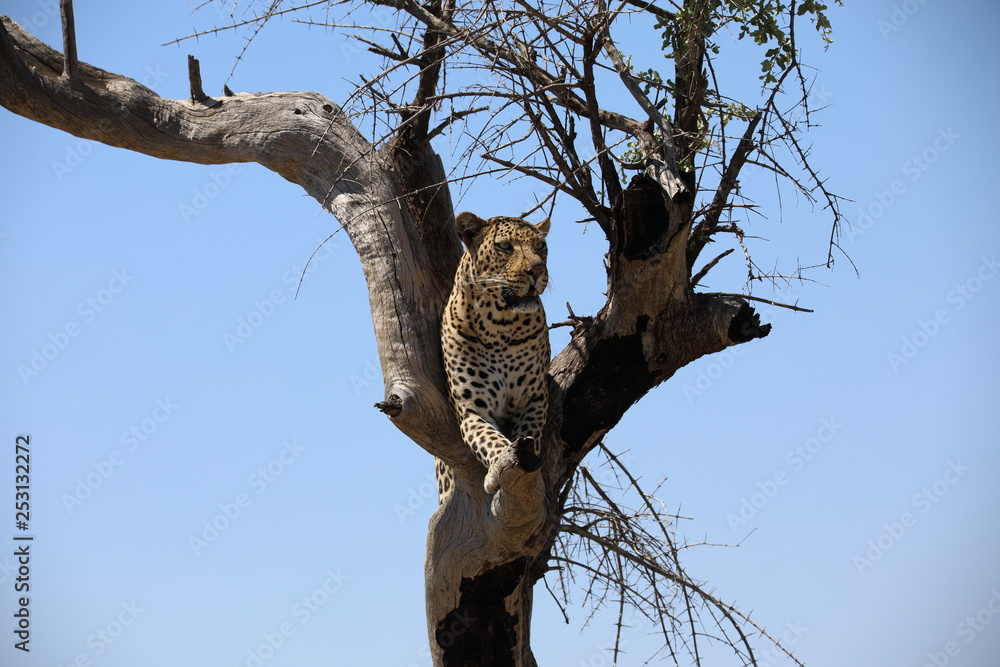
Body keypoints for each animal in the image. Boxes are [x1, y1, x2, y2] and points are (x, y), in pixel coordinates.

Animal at [438, 211, 551, 499]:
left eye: (540, 246)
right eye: (504, 246)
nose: (537, 271)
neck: (501, 325)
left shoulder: (534, 399)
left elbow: (529, 435)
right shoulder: (471, 411)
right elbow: (490, 439)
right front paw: (499, 466)